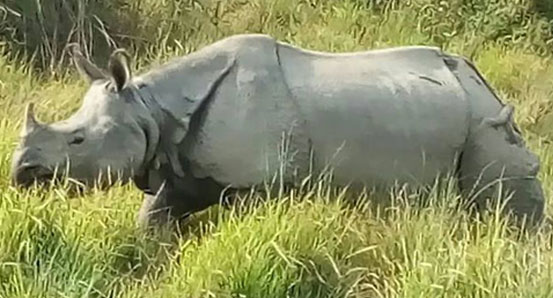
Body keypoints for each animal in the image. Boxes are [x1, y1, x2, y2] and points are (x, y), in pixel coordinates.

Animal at [10, 33, 544, 227]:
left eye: (78, 139)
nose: (21, 171)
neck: (150, 108)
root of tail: (478, 78)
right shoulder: (184, 166)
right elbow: (153, 219)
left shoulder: (260, 180)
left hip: (482, 115)